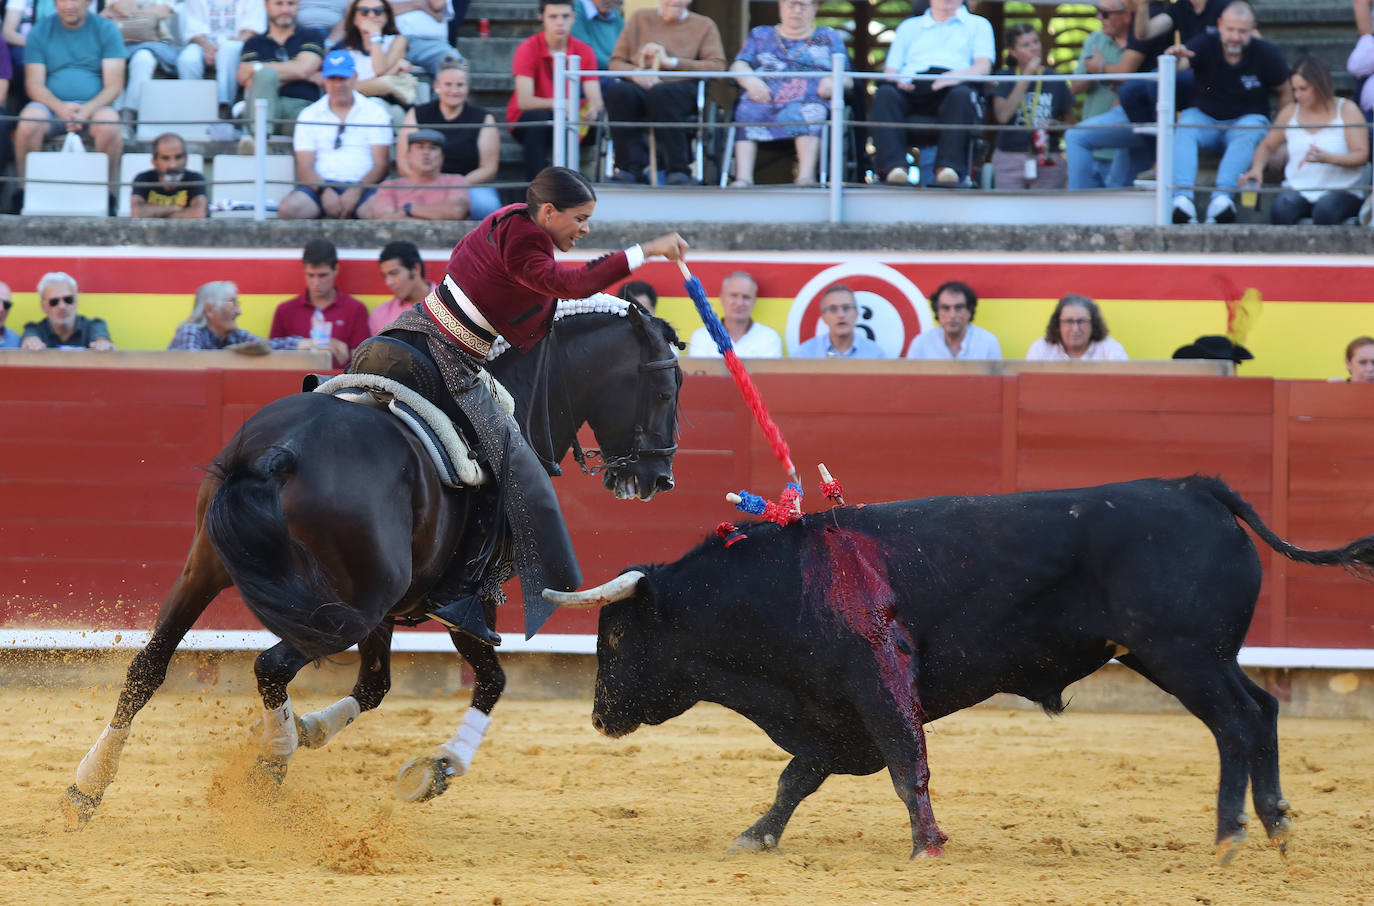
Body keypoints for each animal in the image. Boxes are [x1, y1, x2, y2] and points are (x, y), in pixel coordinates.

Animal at [64, 301, 687, 824]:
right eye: (665, 390)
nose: (658, 477)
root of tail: (284, 452)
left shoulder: (398, 609)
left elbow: (376, 684)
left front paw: (313, 728)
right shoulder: (464, 602)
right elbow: (490, 680)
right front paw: (435, 770)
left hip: (210, 566)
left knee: (149, 666)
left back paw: (87, 787)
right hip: (353, 602)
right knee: (270, 666)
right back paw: (269, 770)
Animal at [552, 478, 1374, 863]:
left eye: (615, 638)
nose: (597, 717)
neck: (781, 584)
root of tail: (1195, 487)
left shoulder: (874, 686)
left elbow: (902, 763)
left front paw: (927, 847)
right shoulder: (828, 712)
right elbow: (796, 779)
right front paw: (755, 837)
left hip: (1183, 654)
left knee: (1236, 721)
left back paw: (1234, 833)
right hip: (1187, 656)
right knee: (1260, 712)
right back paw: (1271, 827)